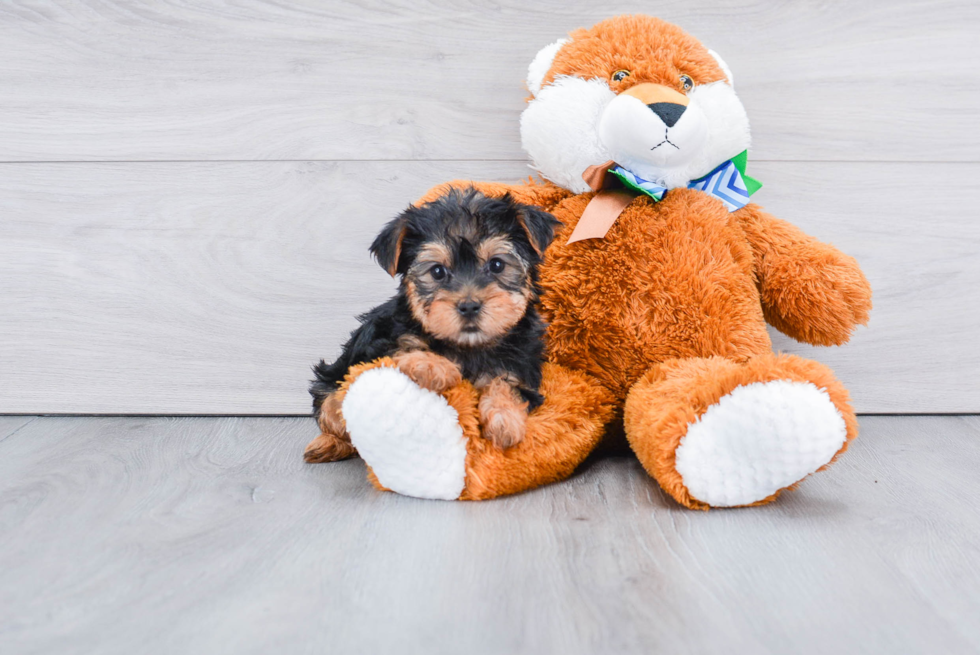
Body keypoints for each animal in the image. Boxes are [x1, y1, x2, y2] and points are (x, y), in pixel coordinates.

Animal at [306, 186, 568, 462]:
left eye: (497, 264)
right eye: (437, 271)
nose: (469, 306)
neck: (469, 346)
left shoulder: (523, 366)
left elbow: (509, 385)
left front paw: (504, 419)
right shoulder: (376, 344)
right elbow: (399, 348)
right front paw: (435, 366)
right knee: (331, 408)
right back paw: (328, 442)